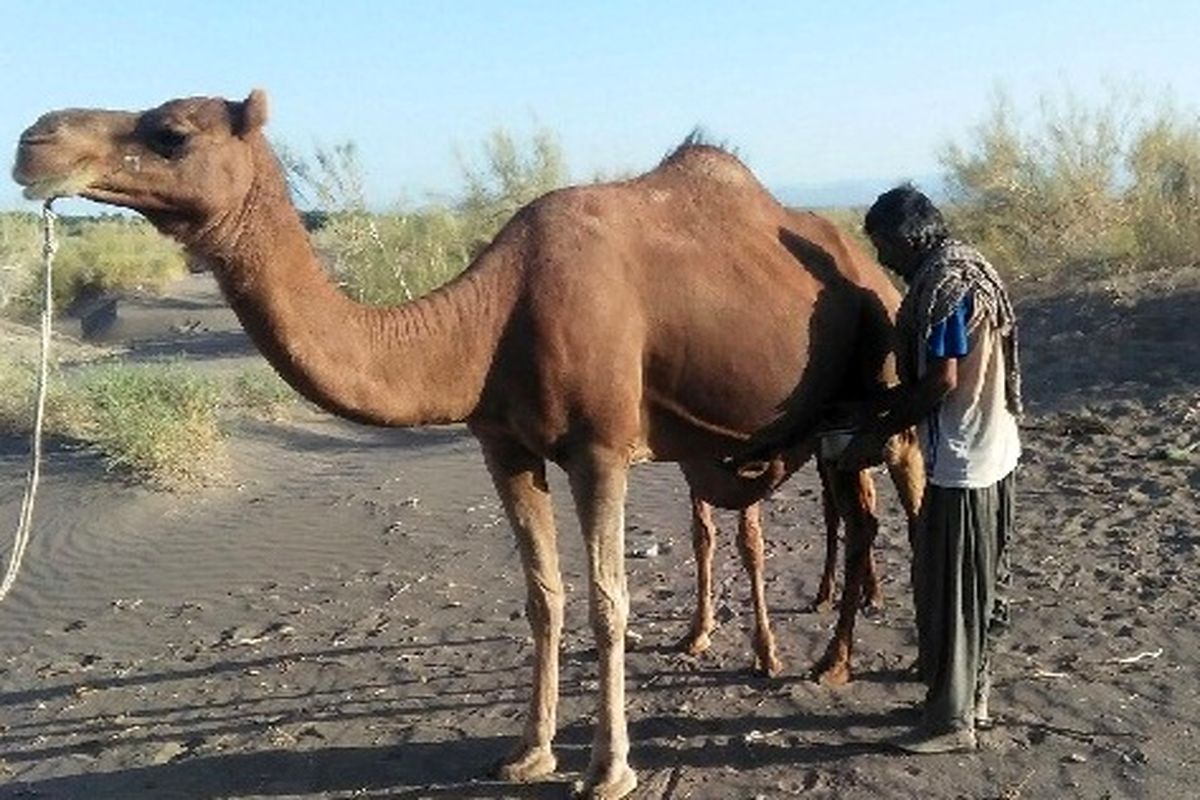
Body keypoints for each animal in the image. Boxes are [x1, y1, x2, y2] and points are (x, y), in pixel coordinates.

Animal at [14, 89, 921, 800]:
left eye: (172, 131)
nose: (35, 140)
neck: (487, 318)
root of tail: (868, 267)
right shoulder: (503, 446)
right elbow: (543, 597)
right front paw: (527, 753)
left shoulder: (600, 445)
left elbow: (609, 600)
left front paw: (609, 770)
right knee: (839, 511)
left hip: (880, 363)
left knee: (894, 501)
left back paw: (852, 664)